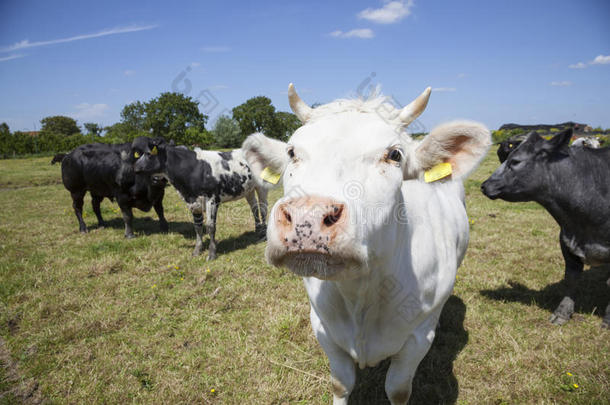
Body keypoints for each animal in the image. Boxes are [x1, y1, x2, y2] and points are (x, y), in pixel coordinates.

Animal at [135, 140, 274, 260]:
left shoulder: (212, 200)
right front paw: (197, 250)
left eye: (149, 154)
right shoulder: (193, 202)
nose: (135, 168)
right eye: (139, 154)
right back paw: (257, 231)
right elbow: (197, 227)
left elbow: (210, 227)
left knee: (263, 208)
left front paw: (211, 254)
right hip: (248, 190)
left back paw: (263, 235)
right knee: (254, 208)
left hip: (262, 187)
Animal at [240, 83, 486, 402]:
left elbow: (398, 389)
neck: (362, 291)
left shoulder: (418, 339)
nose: (308, 216)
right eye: (292, 151)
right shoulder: (322, 327)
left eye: (394, 154)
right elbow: (340, 382)